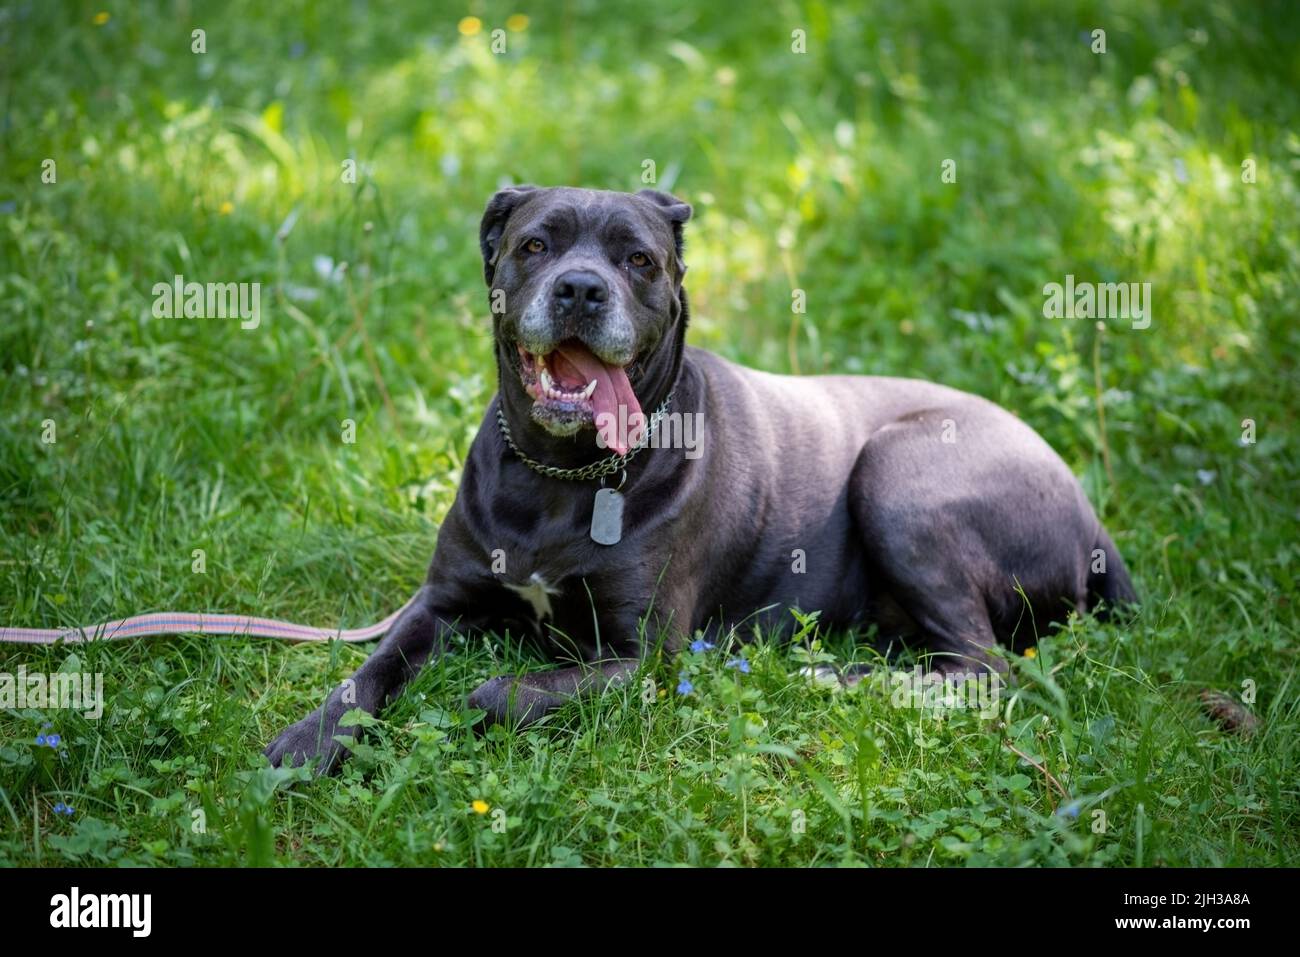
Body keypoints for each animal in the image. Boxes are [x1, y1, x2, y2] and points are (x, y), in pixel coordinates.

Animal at [263, 184, 1138, 769]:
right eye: (535, 244)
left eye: (638, 260)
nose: (581, 288)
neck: (562, 474)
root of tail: (1092, 515)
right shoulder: (442, 600)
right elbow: (370, 669)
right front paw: (310, 740)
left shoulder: (646, 655)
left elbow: (504, 690)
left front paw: (478, 697)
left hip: (899, 475)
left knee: (984, 668)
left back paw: (833, 676)